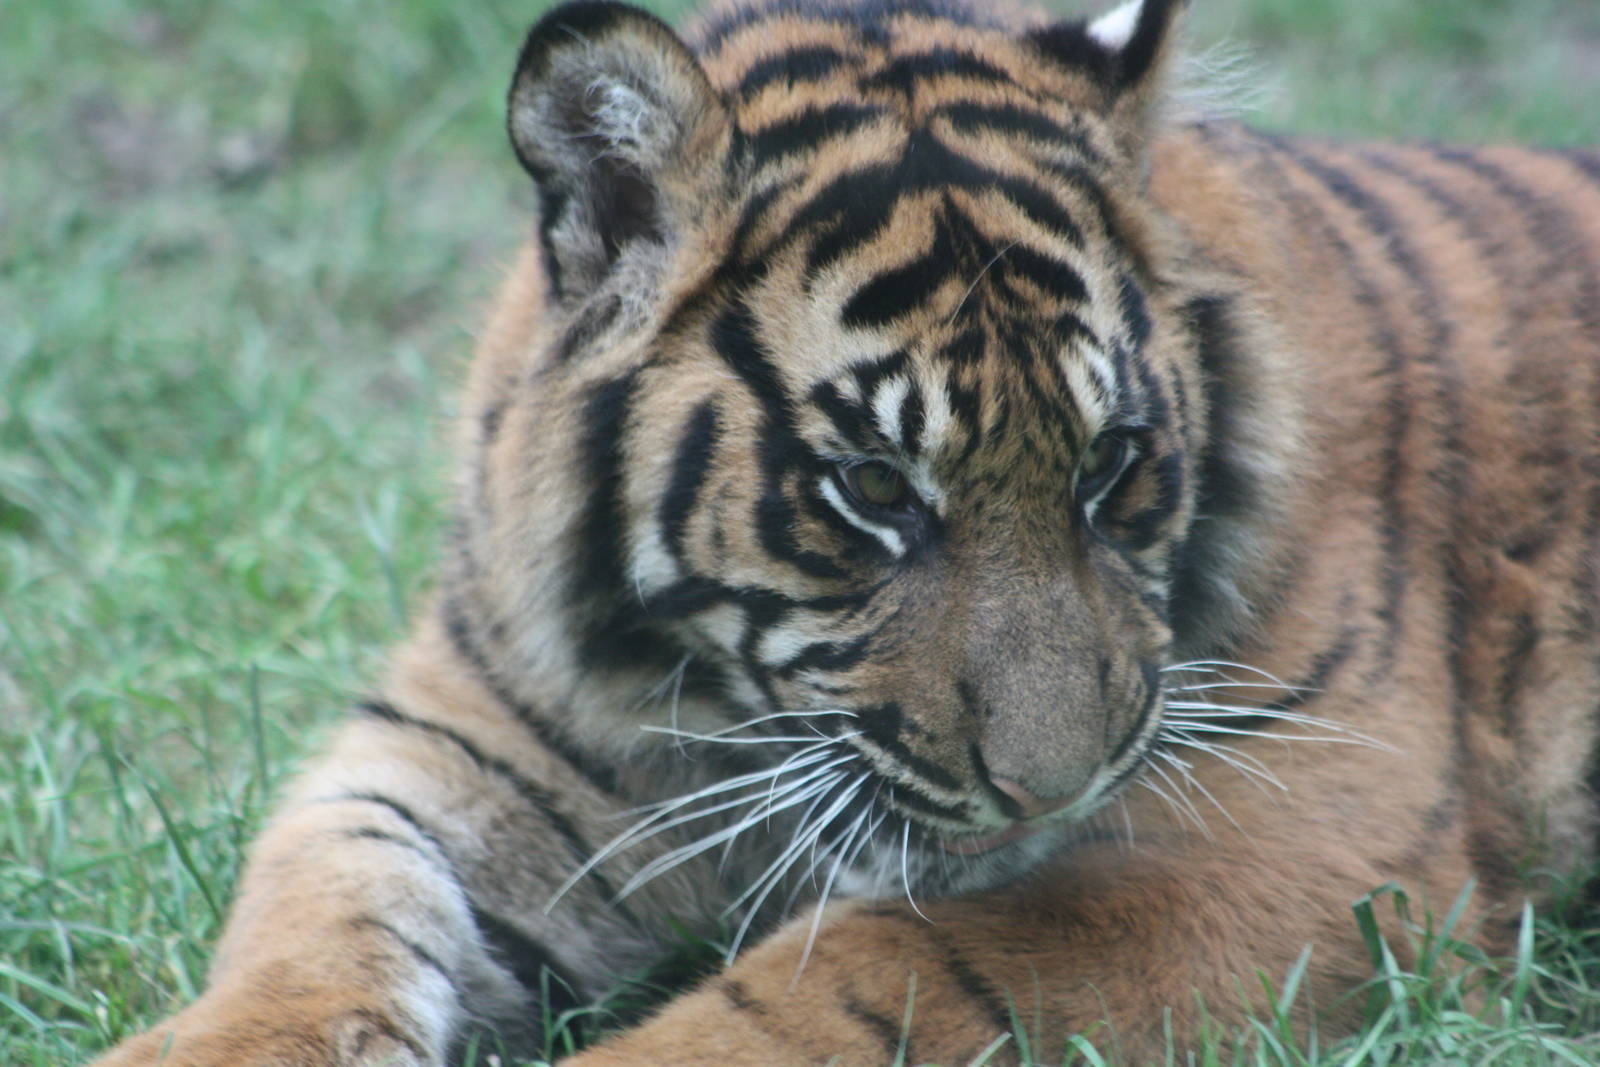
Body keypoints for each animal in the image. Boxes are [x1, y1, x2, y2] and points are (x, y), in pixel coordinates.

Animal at [92, 0, 1600, 1063]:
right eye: (874, 487)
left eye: (1114, 464)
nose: (1052, 792)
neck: (715, 697)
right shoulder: (463, 741)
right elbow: (313, 910)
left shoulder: (1290, 840)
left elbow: (856, 978)